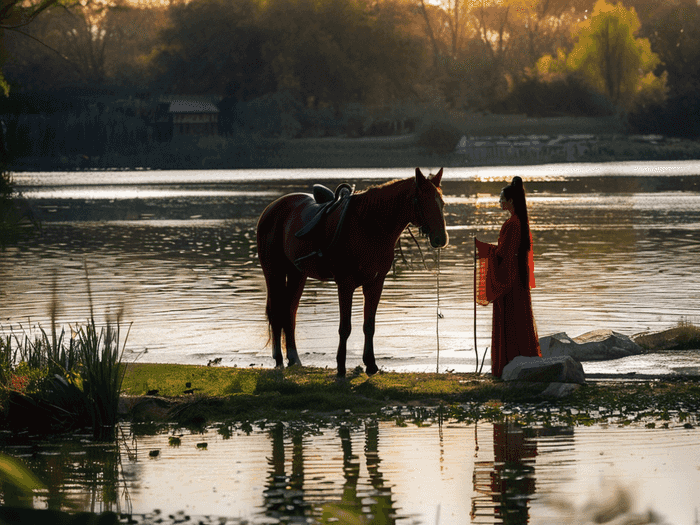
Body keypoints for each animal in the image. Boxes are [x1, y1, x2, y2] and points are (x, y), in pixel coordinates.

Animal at [258, 168, 448, 376]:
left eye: (442, 202)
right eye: (424, 201)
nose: (441, 238)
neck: (369, 225)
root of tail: (271, 208)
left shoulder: (375, 284)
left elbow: (369, 325)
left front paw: (370, 364)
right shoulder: (345, 284)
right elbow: (345, 327)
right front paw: (341, 366)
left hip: (297, 274)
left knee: (289, 312)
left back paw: (294, 358)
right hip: (273, 272)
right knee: (276, 312)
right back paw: (278, 359)